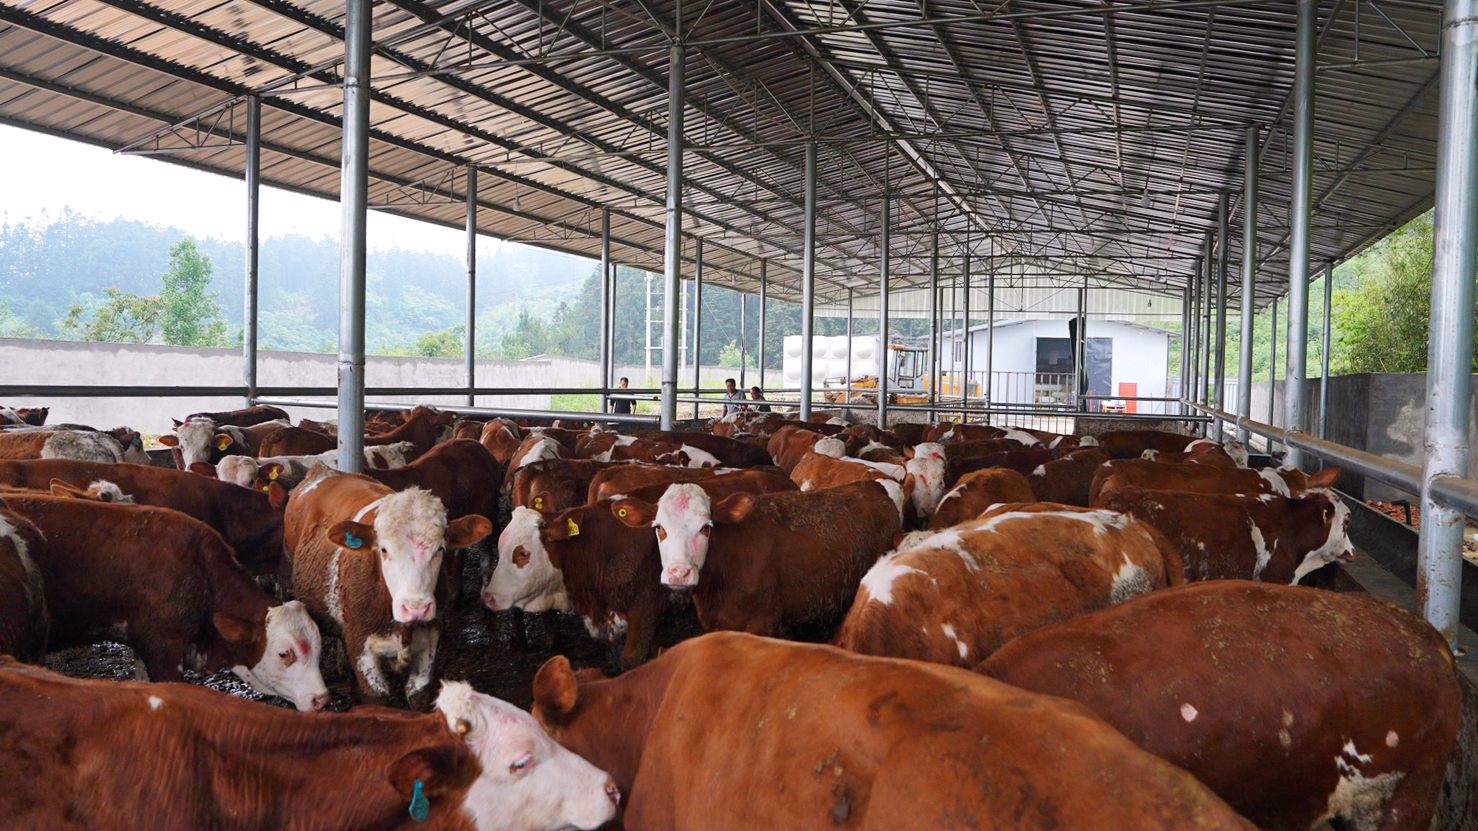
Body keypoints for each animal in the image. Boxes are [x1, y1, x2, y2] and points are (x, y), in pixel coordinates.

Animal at [283, 465, 492, 708]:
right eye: (383, 550)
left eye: (440, 548)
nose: (415, 609)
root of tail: (323, 470)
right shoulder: (360, 643)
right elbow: (375, 697)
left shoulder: (430, 636)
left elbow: (418, 694)